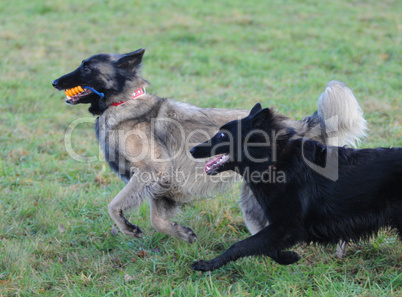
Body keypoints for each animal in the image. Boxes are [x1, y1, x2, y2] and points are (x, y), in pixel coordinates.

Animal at [189, 102, 402, 270]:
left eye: (222, 134)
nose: (191, 149)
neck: (275, 161)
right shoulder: (280, 228)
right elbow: (261, 245)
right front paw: (288, 257)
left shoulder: (288, 226)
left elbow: (241, 245)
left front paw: (207, 264)